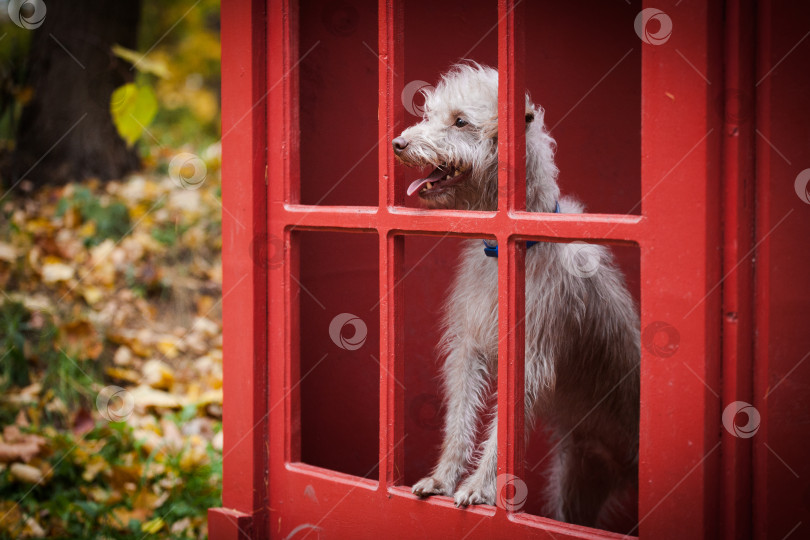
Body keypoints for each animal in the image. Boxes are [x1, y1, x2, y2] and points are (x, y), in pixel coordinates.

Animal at [392, 63, 636, 528]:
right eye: (431, 113)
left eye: (461, 122)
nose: (398, 144)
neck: (503, 250)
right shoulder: (468, 348)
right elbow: (459, 417)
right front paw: (443, 477)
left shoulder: (529, 358)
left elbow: (501, 431)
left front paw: (479, 488)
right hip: (581, 479)